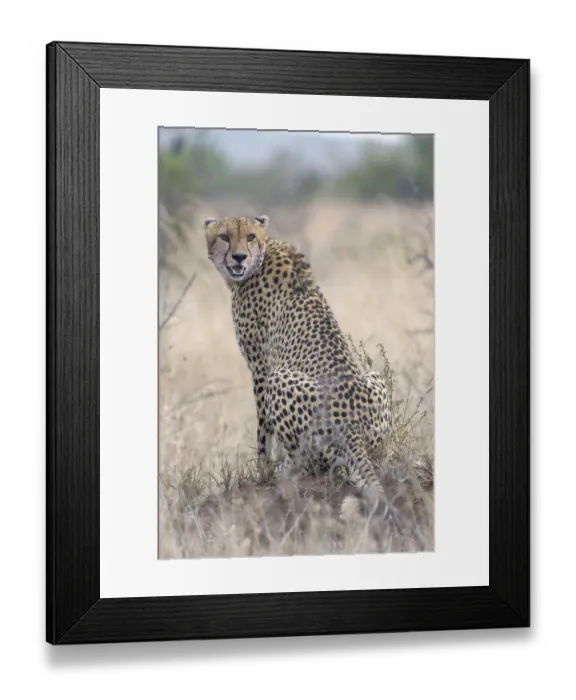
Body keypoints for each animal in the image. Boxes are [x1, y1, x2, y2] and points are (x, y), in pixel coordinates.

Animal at [203, 214, 392, 499]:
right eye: (225, 236)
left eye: (250, 236)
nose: (238, 257)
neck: (264, 252)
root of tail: (352, 425)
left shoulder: (261, 367)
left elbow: (263, 430)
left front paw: (264, 467)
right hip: (375, 378)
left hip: (279, 379)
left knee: (313, 462)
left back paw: (284, 469)